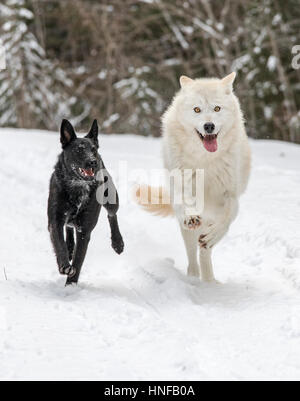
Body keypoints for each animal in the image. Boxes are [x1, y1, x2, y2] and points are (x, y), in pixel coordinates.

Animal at [48, 119, 123, 284]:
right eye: (79, 150)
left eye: (93, 149)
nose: (93, 162)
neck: (78, 186)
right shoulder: (55, 220)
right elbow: (59, 243)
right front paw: (65, 265)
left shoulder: (84, 230)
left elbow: (79, 260)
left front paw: (71, 285)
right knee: (69, 227)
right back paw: (70, 247)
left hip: (111, 199)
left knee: (112, 215)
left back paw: (117, 242)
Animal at [137, 72, 252, 282]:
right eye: (197, 109)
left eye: (216, 108)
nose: (209, 126)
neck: (205, 160)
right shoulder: (183, 185)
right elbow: (186, 202)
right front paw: (191, 215)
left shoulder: (230, 195)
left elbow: (227, 217)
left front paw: (214, 235)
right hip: (186, 228)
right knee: (191, 251)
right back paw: (193, 277)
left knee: (204, 250)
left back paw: (210, 282)